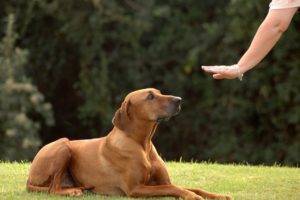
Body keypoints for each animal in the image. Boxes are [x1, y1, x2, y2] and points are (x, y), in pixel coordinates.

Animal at [26, 88, 232, 199]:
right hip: (63, 145)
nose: (179, 100)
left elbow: (192, 187)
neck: (142, 144)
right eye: (150, 96)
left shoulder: (161, 181)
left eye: (159, 92)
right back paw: (72, 192)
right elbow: (173, 188)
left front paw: (219, 195)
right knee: (52, 189)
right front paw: (192, 196)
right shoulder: (135, 189)